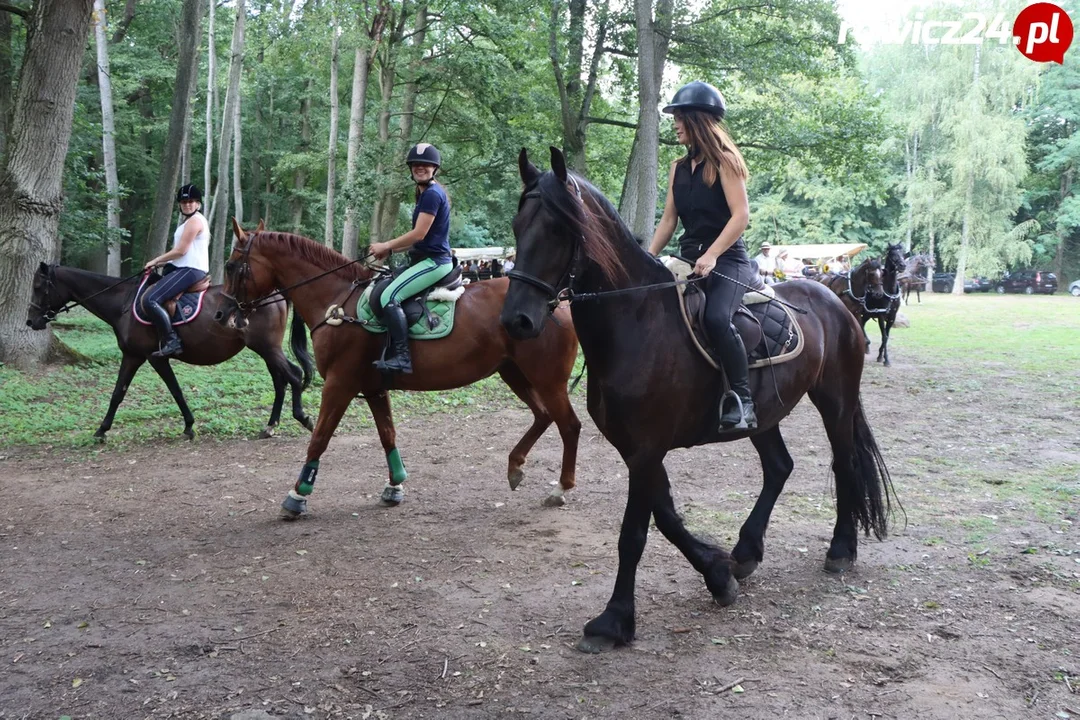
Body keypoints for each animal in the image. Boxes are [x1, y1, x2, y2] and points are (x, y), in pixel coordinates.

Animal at [26, 260, 313, 440]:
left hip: (267, 347)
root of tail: (277, 292)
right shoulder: (134, 356)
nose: (31, 321)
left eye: (39, 287)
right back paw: (270, 426)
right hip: (265, 349)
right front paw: (102, 430)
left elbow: (170, 390)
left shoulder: (150, 358)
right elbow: (121, 393)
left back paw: (302, 418)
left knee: (294, 375)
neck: (123, 302)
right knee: (280, 382)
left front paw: (188, 426)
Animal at [218, 222, 583, 515]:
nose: (222, 315)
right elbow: (387, 434)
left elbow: (319, 438)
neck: (337, 300)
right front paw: (394, 486)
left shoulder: (339, 384)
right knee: (543, 416)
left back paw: (560, 489)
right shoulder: (373, 387)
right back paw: (515, 467)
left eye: (231, 265)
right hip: (514, 373)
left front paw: (298, 495)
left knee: (569, 425)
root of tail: (557, 301)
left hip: (546, 379)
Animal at [496, 148, 894, 656]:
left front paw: (613, 621)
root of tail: (836, 301)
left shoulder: (646, 449)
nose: (517, 321)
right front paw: (719, 574)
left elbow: (634, 533)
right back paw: (746, 552)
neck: (637, 320)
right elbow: (666, 516)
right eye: (516, 225)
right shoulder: (638, 448)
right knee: (779, 467)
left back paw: (841, 550)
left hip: (836, 399)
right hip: (763, 415)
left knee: (844, 463)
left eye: (559, 229)